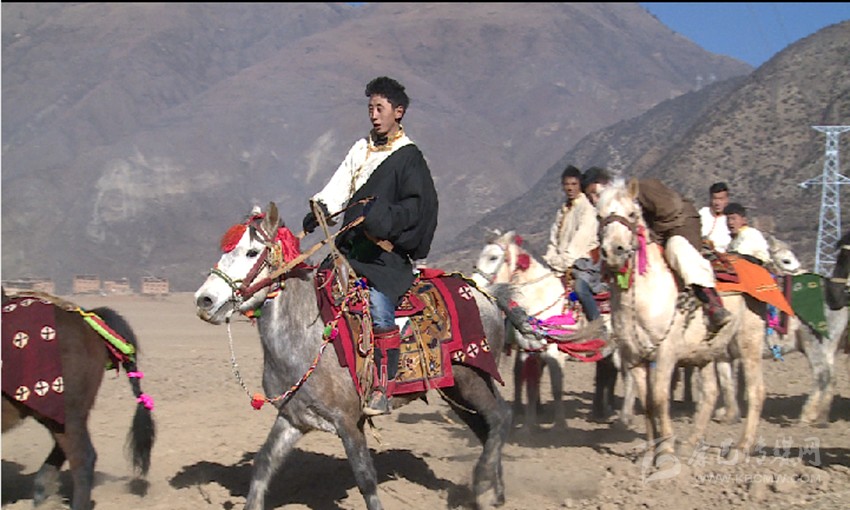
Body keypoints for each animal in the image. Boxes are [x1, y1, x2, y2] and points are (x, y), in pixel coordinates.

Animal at [193, 202, 512, 510]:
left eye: (251, 252)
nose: (204, 300)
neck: (305, 337)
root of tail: (486, 295)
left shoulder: (348, 422)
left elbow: (366, 479)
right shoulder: (293, 419)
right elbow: (263, 465)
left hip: (472, 378)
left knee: (498, 418)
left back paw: (483, 488)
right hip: (457, 388)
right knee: (486, 427)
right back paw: (496, 492)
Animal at [471, 230, 620, 430]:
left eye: (493, 257)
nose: (473, 283)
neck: (540, 299)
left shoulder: (554, 353)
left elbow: (556, 388)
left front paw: (560, 426)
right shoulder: (530, 351)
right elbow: (531, 386)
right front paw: (529, 426)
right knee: (607, 371)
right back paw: (603, 411)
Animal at [595, 178, 766, 464]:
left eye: (632, 214)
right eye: (599, 216)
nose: (613, 252)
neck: (644, 294)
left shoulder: (666, 353)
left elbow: (660, 399)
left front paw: (665, 454)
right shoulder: (635, 357)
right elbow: (647, 402)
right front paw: (649, 453)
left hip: (748, 343)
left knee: (755, 391)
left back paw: (741, 449)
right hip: (707, 352)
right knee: (710, 393)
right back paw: (690, 445)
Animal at [712, 234, 849, 425]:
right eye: (786, 261)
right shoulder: (724, 354)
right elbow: (726, 382)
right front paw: (729, 414)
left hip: (812, 342)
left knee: (821, 373)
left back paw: (807, 415)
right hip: (829, 347)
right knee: (831, 376)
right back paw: (821, 417)